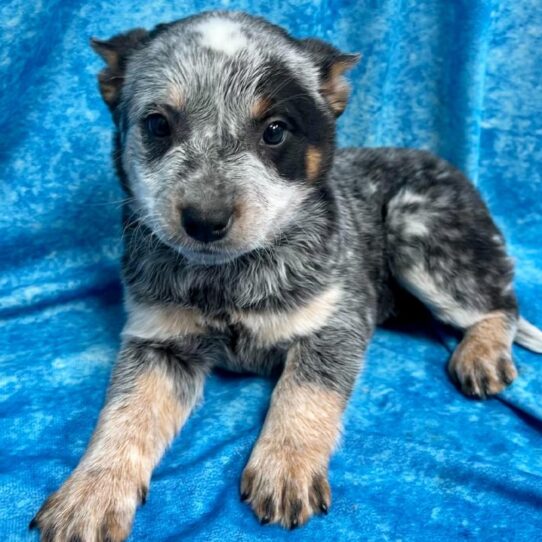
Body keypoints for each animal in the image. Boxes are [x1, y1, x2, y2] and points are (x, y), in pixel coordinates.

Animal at [31, 9, 542, 542]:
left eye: (274, 131)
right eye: (157, 124)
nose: (205, 220)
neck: (228, 279)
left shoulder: (337, 319)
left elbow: (305, 392)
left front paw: (285, 466)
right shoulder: (158, 341)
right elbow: (124, 412)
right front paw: (91, 491)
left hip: (416, 225)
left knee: (503, 304)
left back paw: (481, 353)